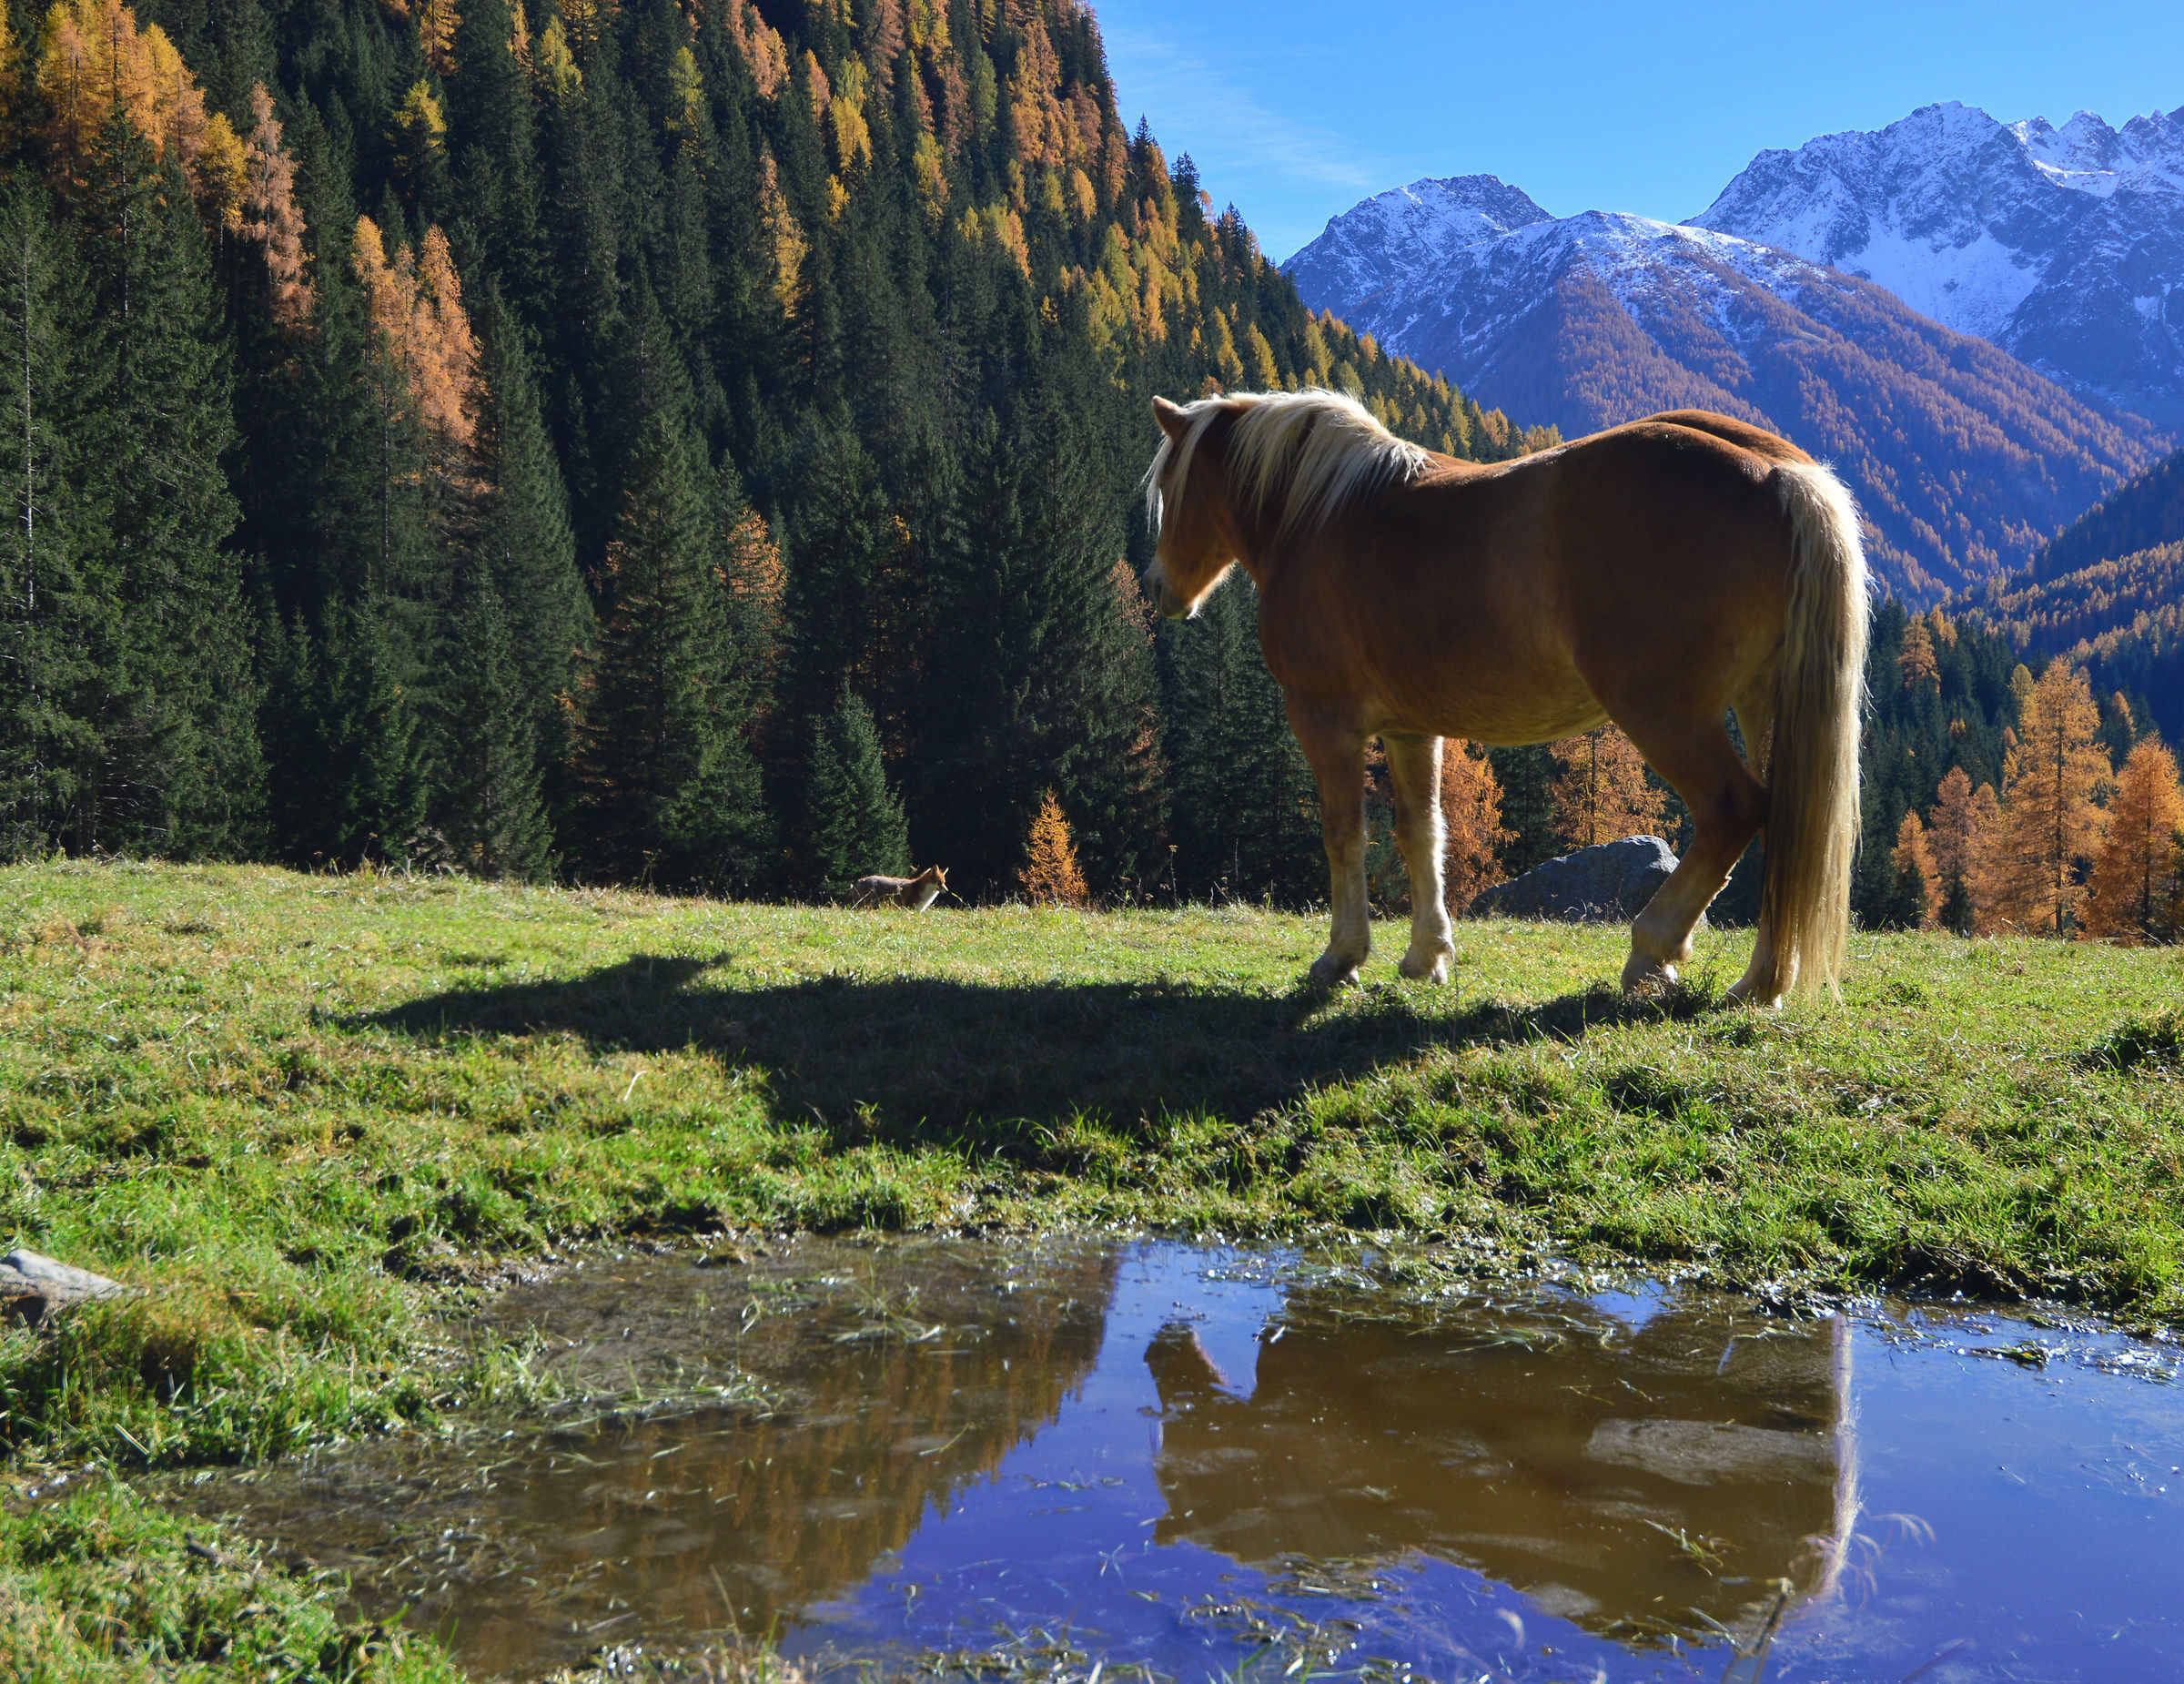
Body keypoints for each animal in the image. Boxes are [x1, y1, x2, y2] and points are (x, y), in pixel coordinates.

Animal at [1141, 389, 1868, 1007]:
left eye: (1170, 488)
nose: (1156, 588)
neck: (1319, 517)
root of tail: (1776, 473)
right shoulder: (1411, 730)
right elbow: (1421, 832)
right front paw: (1426, 956)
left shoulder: (1325, 720)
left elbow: (1344, 833)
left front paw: (1342, 958)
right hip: (1764, 705)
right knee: (1786, 823)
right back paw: (1761, 982)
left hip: (1665, 713)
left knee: (1733, 810)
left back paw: (1652, 952)